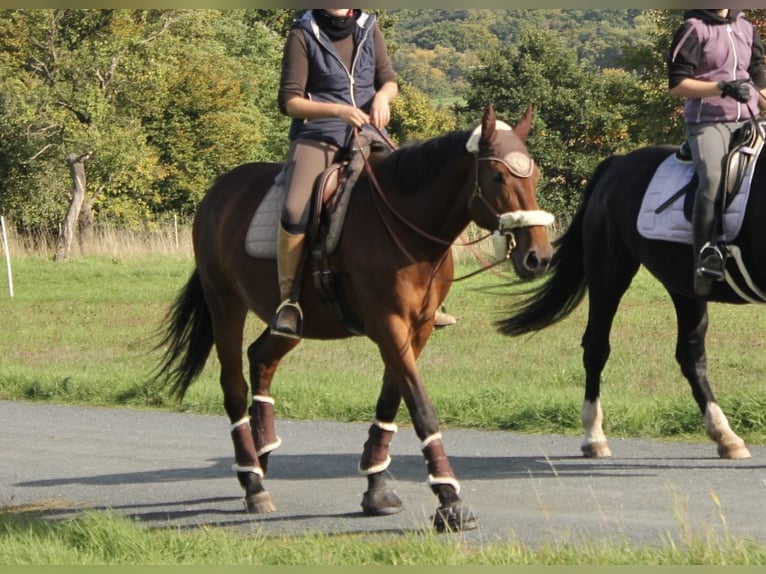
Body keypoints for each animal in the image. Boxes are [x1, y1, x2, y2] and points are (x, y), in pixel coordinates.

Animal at [153, 102, 556, 532]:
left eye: (535, 176)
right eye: (497, 176)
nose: (538, 257)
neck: (403, 225)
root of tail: (218, 193)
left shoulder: (418, 329)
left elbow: (390, 402)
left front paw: (376, 488)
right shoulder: (388, 325)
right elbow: (421, 407)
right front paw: (450, 499)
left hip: (291, 322)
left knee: (261, 358)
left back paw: (261, 458)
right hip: (225, 304)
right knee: (233, 386)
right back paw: (252, 482)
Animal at [496, 140, 764, 464]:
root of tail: (617, 165)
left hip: (684, 288)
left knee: (691, 355)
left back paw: (725, 437)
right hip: (609, 276)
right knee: (596, 348)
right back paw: (594, 437)